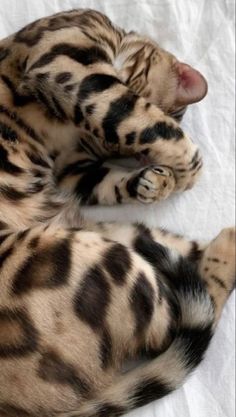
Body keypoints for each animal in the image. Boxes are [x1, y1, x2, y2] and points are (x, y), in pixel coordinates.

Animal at [0, 7, 234, 417]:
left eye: (118, 148)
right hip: (103, 261)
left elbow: (110, 177)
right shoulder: (67, 65)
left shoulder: (75, 168)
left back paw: (227, 244)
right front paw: (186, 171)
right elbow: (153, 124)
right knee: (178, 325)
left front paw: (156, 182)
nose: (97, 138)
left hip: (107, 238)